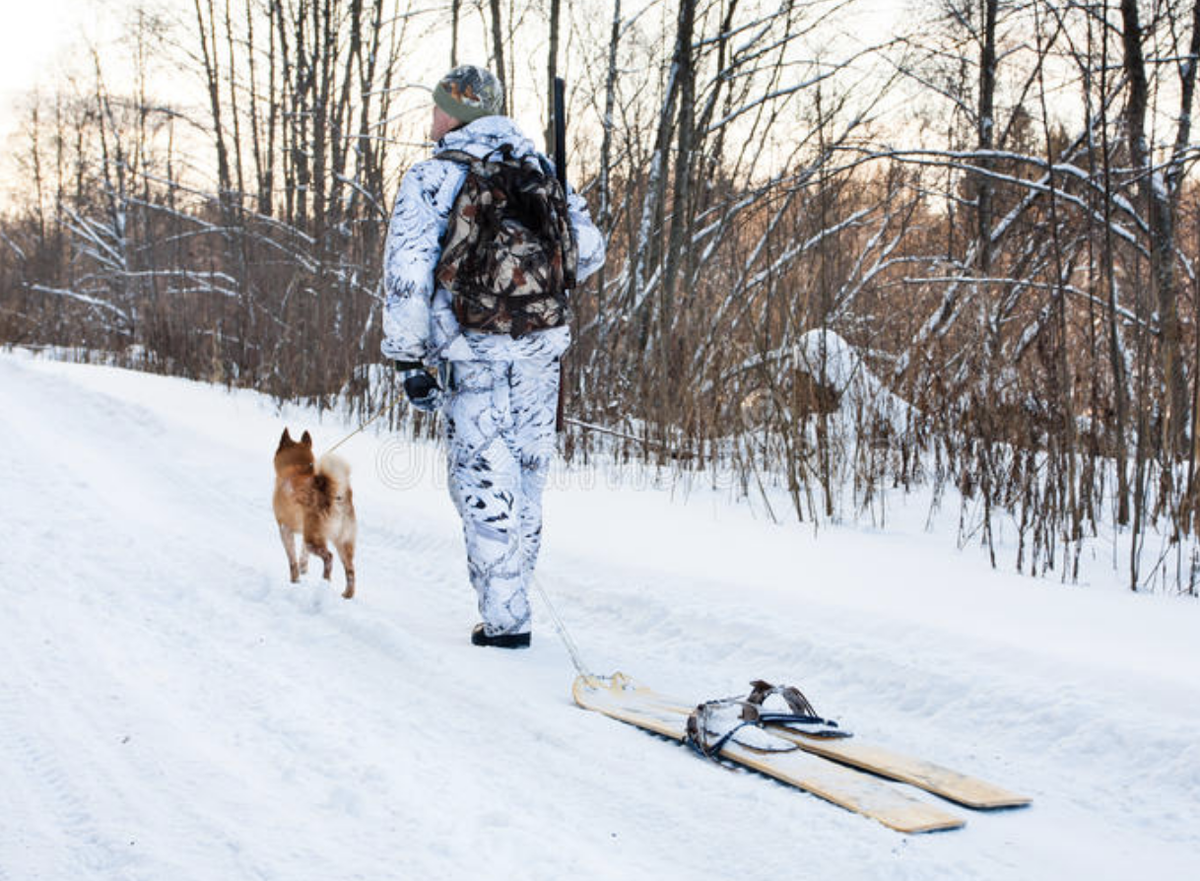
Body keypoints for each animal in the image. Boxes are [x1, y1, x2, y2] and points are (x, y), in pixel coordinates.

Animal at [274, 429, 355, 600]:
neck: (299, 468)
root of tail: (335, 496)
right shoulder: (303, 532)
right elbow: (303, 557)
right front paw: (304, 571)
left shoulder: (285, 529)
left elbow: (292, 561)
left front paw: (295, 581)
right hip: (344, 542)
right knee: (350, 571)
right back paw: (347, 595)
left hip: (314, 539)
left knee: (329, 557)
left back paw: (325, 581)